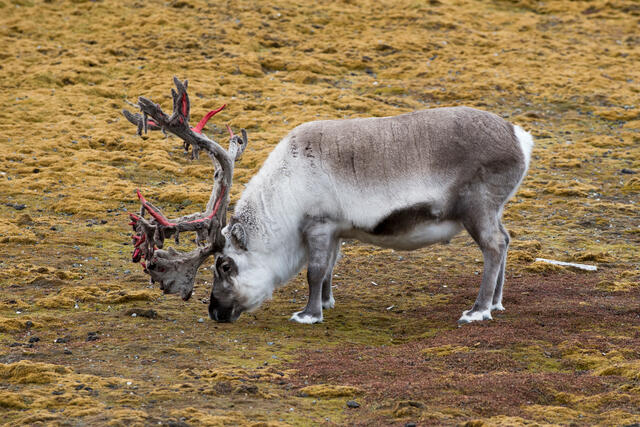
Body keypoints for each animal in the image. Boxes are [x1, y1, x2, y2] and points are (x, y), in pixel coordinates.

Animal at [123, 77, 533, 325]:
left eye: (224, 266)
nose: (214, 312)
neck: (283, 194)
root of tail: (521, 138)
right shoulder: (336, 230)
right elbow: (331, 268)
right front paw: (327, 303)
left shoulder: (318, 224)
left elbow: (314, 270)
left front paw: (308, 314)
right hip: (493, 209)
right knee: (506, 239)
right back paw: (497, 302)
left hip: (477, 208)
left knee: (494, 246)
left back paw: (478, 310)